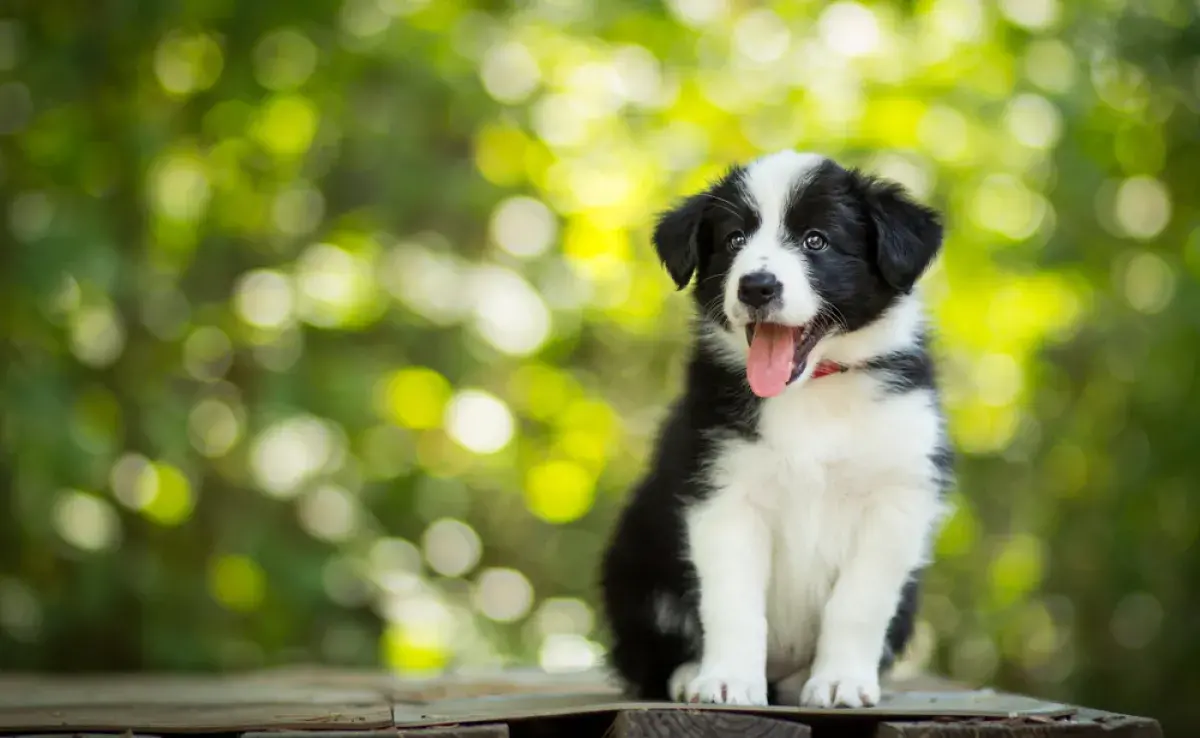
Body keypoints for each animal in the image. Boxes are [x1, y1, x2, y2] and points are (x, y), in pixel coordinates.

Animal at [600, 150, 955, 710]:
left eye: (816, 240)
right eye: (733, 240)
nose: (756, 286)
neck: (811, 394)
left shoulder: (896, 497)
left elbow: (858, 603)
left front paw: (840, 681)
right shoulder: (723, 491)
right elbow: (733, 601)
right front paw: (728, 680)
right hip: (634, 564)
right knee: (649, 656)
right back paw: (689, 674)